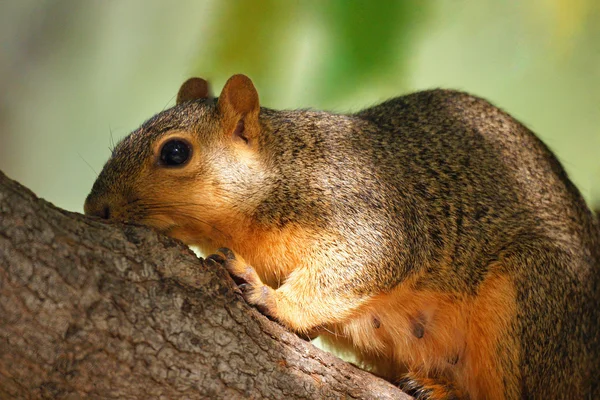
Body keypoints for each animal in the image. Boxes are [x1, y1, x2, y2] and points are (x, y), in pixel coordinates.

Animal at [84, 73, 600, 398]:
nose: (94, 209)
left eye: (175, 153)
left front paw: (271, 299)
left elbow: (365, 260)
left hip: (530, 296)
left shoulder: (365, 211)